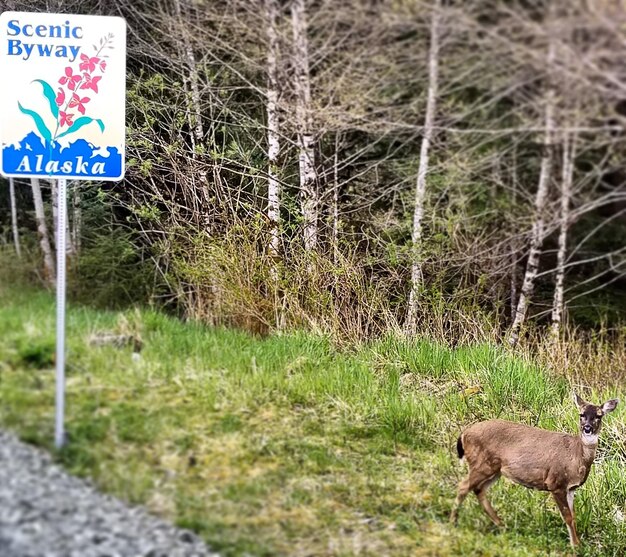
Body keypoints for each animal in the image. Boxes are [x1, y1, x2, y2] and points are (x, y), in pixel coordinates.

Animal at [448, 394, 616, 544]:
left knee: (479, 490)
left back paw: (501, 525)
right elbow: (567, 517)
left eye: (599, 416)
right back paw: (453, 523)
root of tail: (464, 433)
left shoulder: (570, 488)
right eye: (581, 414)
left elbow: (573, 517)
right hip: (481, 463)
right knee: (463, 486)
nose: (587, 428)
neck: (576, 456)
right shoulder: (555, 482)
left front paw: (578, 543)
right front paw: (575, 547)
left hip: (494, 469)